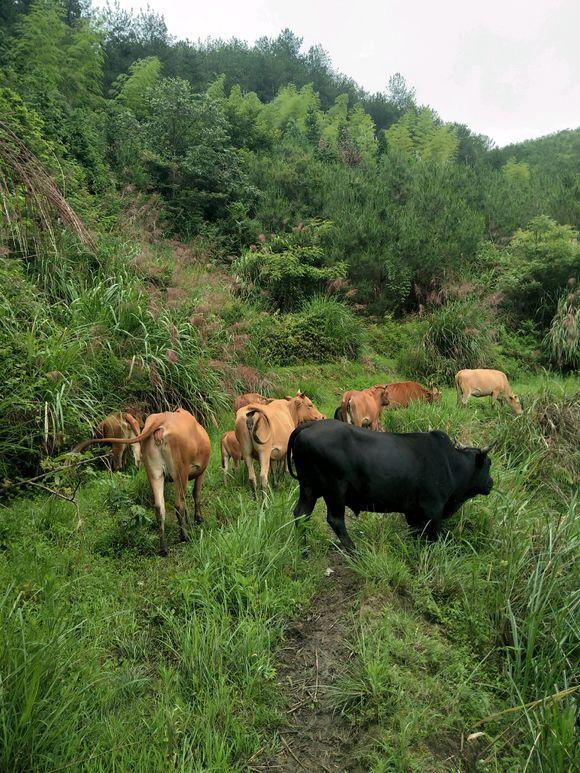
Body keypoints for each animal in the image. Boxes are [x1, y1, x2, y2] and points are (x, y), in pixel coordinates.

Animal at [73, 410, 211, 556]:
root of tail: (162, 418)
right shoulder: (201, 471)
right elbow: (196, 494)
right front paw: (198, 518)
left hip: (154, 473)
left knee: (159, 507)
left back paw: (163, 548)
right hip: (180, 472)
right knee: (179, 504)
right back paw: (184, 537)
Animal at [286, 420, 494, 552]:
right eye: (488, 464)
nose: (491, 483)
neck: (450, 463)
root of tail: (308, 425)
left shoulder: (413, 512)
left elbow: (416, 534)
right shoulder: (433, 510)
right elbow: (434, 537)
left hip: (309, 488)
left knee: (301, 514)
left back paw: (303, 549)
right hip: (335, 490)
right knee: (335, 520)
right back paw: (354, 552)